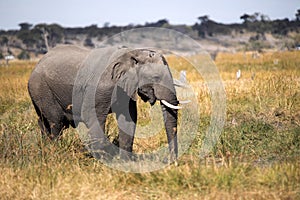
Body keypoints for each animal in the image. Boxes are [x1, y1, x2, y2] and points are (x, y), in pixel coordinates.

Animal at [28, 45, 182, 162]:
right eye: (156, 77)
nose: (170, 161)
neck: (132, 53)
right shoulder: (98, 88)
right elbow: (92, 116)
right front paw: (102, 162)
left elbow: (129, 120)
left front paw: (125, 162)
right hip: (41, 87)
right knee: (56, 122)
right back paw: (55, 151)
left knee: (43, 121)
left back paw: (45, 148)